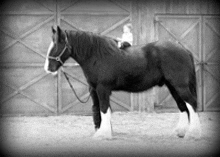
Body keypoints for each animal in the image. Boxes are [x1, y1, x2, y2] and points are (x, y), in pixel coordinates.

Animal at [44, 26, 201, 139]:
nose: (48, 68)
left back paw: (193, 133)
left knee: (191, 103)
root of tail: (183, 49)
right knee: (182, 106)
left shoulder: (103, 89)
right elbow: (101, 110)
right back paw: (180, 132)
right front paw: (103, 132)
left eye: (56, 45)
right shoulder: (95, 89)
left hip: (180, 85)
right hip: (172, 86)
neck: (96, 55)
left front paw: (103, 134)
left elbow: (104, 109)